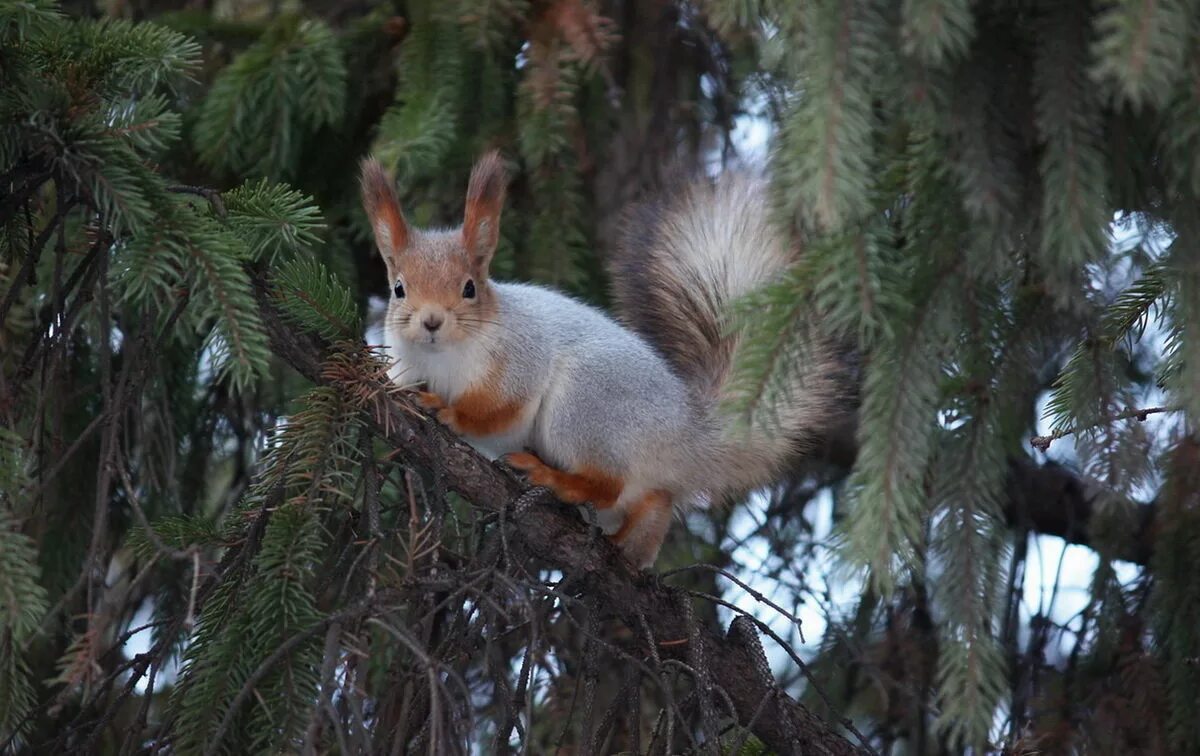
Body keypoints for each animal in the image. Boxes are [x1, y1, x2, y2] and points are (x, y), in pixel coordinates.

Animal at [360, 152, 840, 568]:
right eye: (399, 288)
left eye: (469, 288)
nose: (431, 321)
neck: (441, 358)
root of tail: (687, 429)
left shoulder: (520, 358)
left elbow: (496, 410)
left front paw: (448, 410)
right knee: (651, 502)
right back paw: (632, 544)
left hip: (584, 404)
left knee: (607, 486)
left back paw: (556, 479)